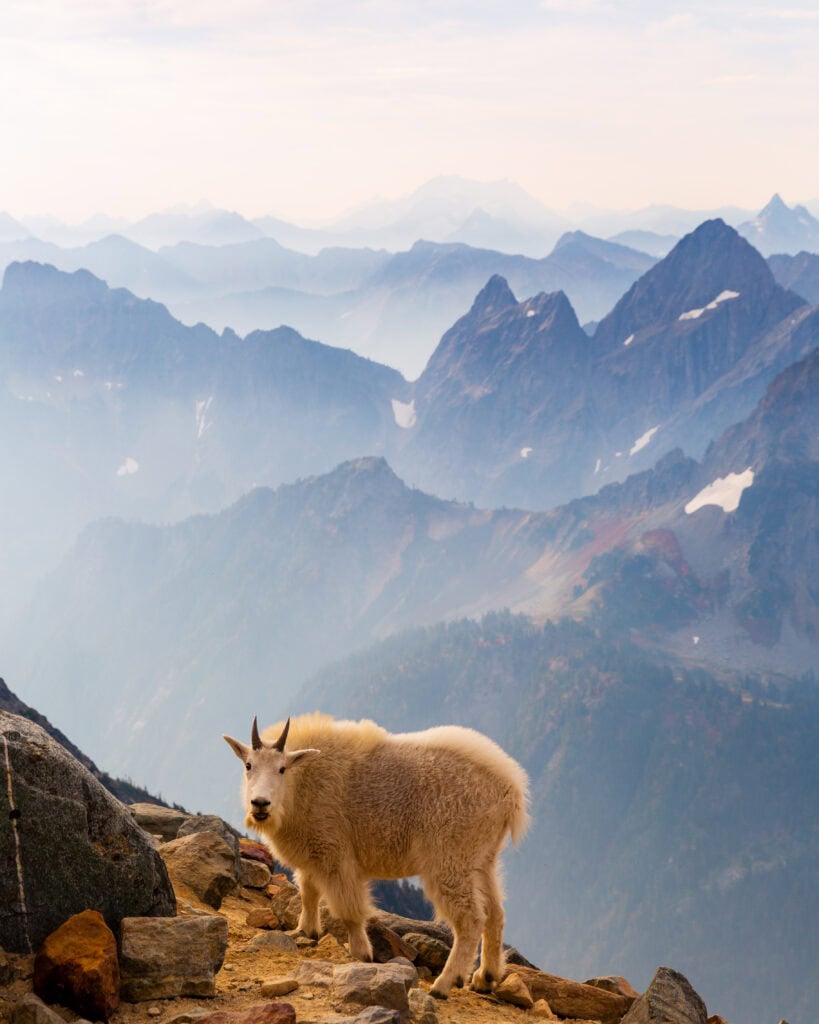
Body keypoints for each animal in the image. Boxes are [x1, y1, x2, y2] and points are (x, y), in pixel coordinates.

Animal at [224, 712, 529, 998]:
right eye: (249, 765)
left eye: (282, 769)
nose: (260, 804)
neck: (302, 782)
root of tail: (510, 790)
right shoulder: (312, 854)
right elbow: (309, 892)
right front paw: (305, 931)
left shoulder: (335, 854)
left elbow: (348, 909)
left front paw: (362, 953)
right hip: (482, 860)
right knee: (495, 913)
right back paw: (485, 978)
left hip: (450, 860)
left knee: (470, 920)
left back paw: (443, 984)